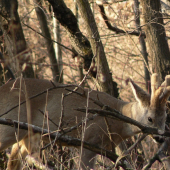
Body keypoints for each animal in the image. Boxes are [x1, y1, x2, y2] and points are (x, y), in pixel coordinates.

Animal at [0, 73, 169, 170]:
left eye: (165, 117)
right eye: (150, 119)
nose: (161, 137)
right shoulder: (90, 139)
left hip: (26, 136)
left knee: (13, 162)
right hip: (11, 127)